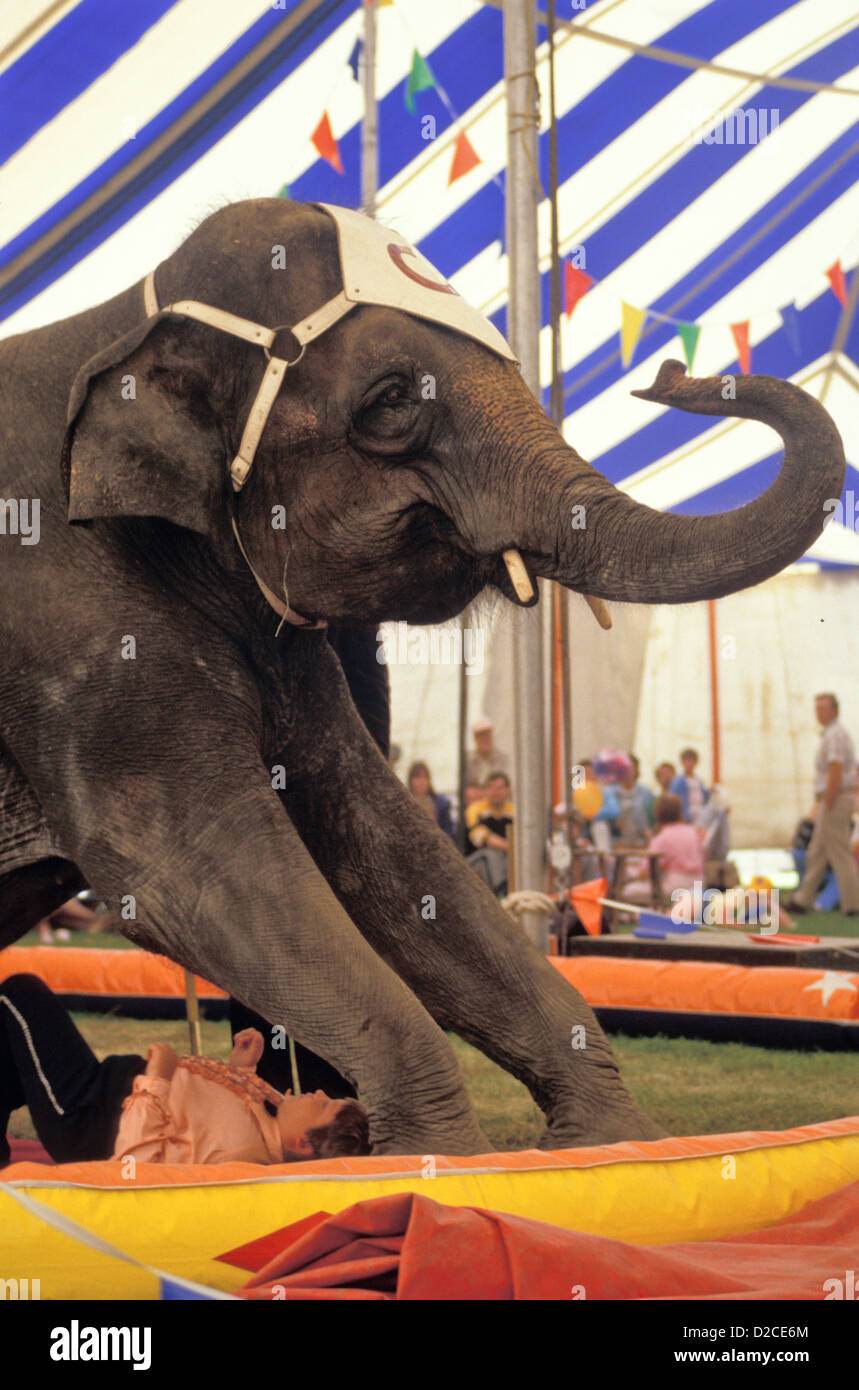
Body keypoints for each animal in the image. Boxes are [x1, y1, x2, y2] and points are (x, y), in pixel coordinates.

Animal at [0, 195, 845, 1150]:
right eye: (393, 399)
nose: (670, 374)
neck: (118, 320)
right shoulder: (67, 627)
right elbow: (173, 858)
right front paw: (438, 1155)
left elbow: (384, 844)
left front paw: (612, 1142)